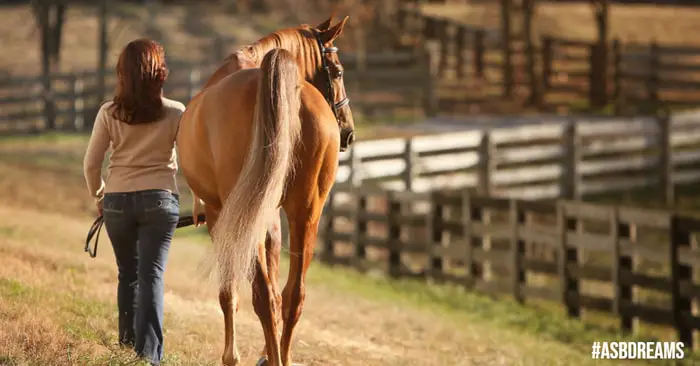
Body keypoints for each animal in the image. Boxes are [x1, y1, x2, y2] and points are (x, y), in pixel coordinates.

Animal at [179, 14, 356, 366]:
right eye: (338, 71)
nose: (348, 131)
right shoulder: (271, 218)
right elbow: (274, 288)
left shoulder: (223, 215)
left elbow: (229, 291)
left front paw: (231, 356)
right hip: (306, 213)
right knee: (292, 295)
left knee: (262, 294)